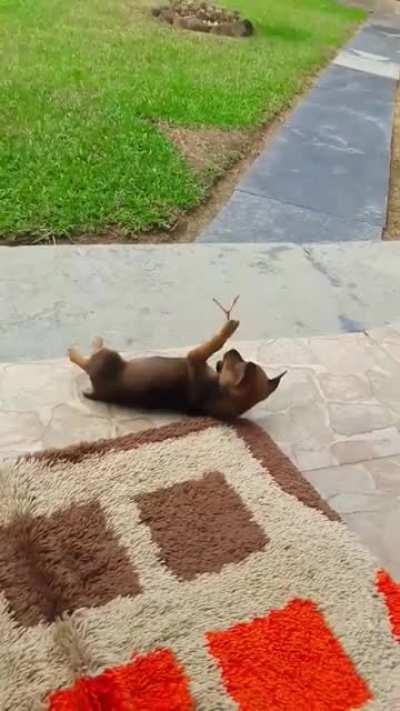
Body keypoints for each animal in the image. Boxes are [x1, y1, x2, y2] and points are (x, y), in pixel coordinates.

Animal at [69, 304, 286, 420]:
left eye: (234, 360)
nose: (233, 351)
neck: (220, 391)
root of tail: (97, 392)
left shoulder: (195, 356)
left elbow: (214, 342)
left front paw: (227, 329)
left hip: (108, 358)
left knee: (87, 359)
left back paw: (80, 348)